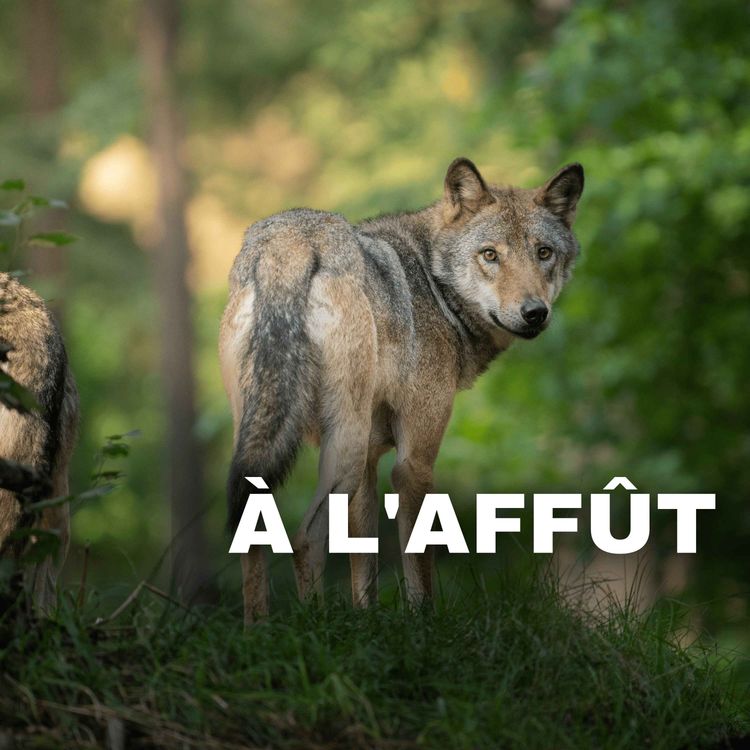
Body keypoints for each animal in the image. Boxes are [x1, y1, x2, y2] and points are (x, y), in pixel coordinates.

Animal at [220, 157, 584, 623]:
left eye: (543, 253)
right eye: (490, 255)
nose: (535, 313)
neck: (433, 284)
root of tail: (291, 241)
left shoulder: (371, 464)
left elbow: (364, 568)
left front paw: (365, 623)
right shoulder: (412, 462)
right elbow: (418, 565)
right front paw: (423, 625)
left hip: (267, 443)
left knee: (251, 539)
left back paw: (259, 631)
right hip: (343, 449)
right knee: (303, 538)